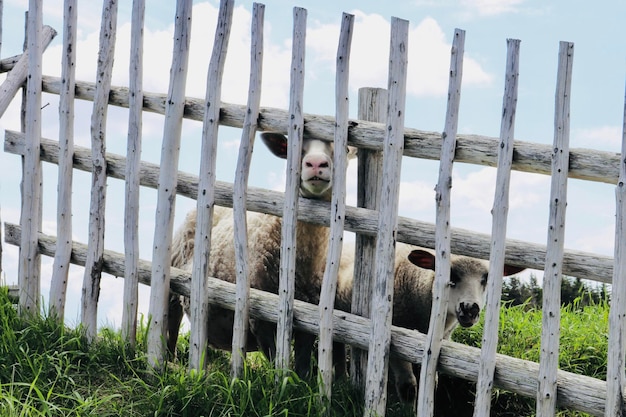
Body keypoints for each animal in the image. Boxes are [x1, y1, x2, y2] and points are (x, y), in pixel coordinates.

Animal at [167, 132, 356, 376]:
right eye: (296, 148)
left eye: (342, 150)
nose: (315, 163)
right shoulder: (262, 319)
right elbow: (276, 361)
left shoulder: (309, 322)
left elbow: (302, 366)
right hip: (174, 285)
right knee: (171, 325)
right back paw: (171, 363)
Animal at [334, 240, 524, 404]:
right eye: (451, 275)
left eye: (485, 279)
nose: (470, 308)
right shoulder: (395, 340)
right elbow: (408, 386)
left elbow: (433, 383)